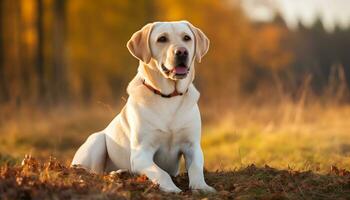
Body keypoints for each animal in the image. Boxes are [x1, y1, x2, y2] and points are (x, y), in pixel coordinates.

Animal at [72, 19, 213, 192]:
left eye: (187, 38)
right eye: (162, 39)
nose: (181, 52)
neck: (168, 96)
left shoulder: (193, 146)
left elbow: (196, 168)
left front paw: (202, 187)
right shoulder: (141, 153)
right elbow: (161, 173)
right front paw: (172, 189)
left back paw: (120, 173)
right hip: (96, 140)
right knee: (95, 172)